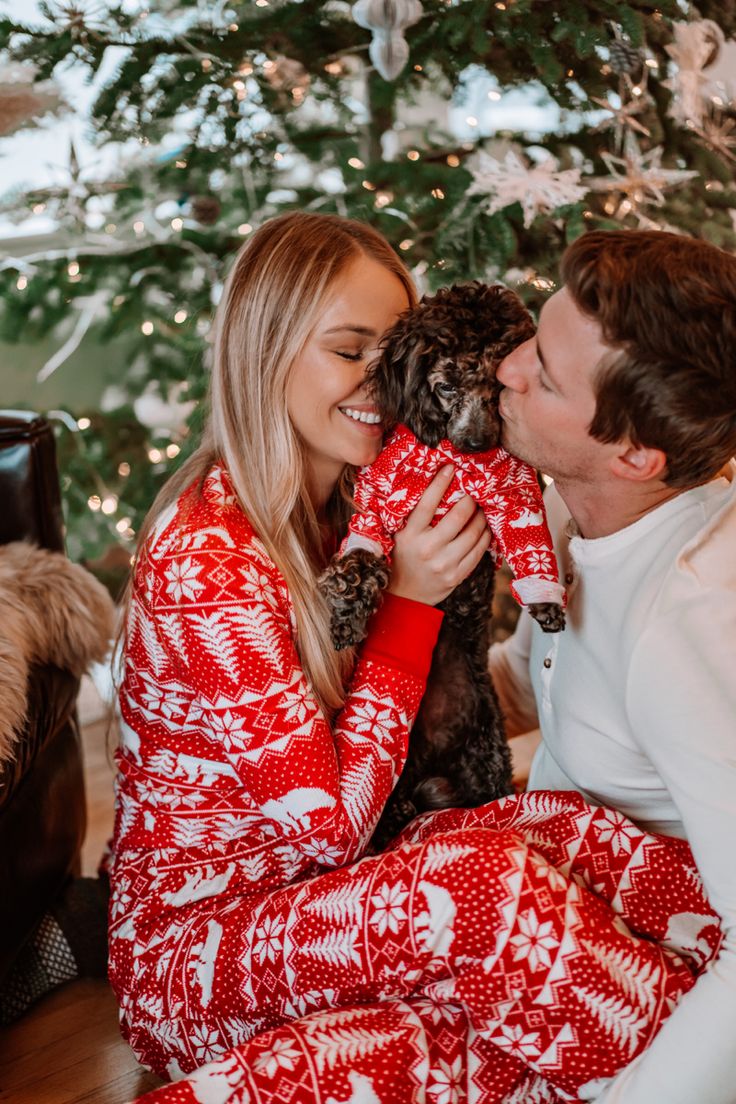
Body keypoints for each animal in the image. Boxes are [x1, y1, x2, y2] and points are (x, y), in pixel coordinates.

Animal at [320, 280, 569, 847]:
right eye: (447, 384)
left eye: (499, 385)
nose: (477, 444)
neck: (448, 457)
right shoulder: (380, 496)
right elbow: (363, 551)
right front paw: (347, 606)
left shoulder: (513, 492)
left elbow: (528, 538)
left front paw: (545, 601)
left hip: (484, 757)